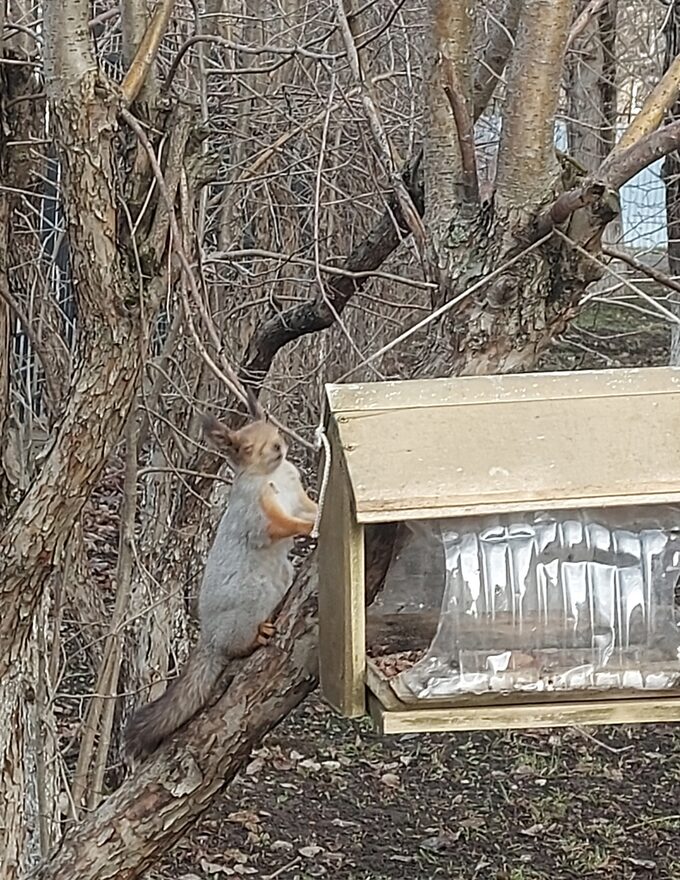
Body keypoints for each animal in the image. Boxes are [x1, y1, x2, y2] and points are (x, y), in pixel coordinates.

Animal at [126, 396, 318, 760]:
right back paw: (256, 638)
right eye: (245, 447)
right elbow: (279, 526)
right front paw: (310, 527)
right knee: (235, 647)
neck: (273, 474)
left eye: (273, 428)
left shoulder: (297, 494)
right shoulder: (257, 515)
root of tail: (210, 637)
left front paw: (321, 511)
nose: (278, 446)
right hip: (252, 599)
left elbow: (307, 507)